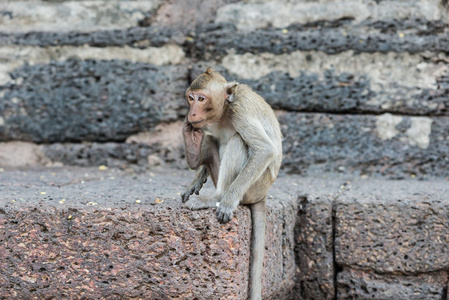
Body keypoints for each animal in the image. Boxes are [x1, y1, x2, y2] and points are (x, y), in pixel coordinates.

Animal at [180, 68, 282, 300]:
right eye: (191, 98)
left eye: (201, 99)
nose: (192, 113)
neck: (225, 110)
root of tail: (263, 194)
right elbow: (214, 138)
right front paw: (196, 180)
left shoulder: (240, 111)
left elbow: (264, 150)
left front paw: (225, 204)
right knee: (210, 139)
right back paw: (194, 154)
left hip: (252, 187)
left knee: (238, 141)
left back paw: (217, 198)